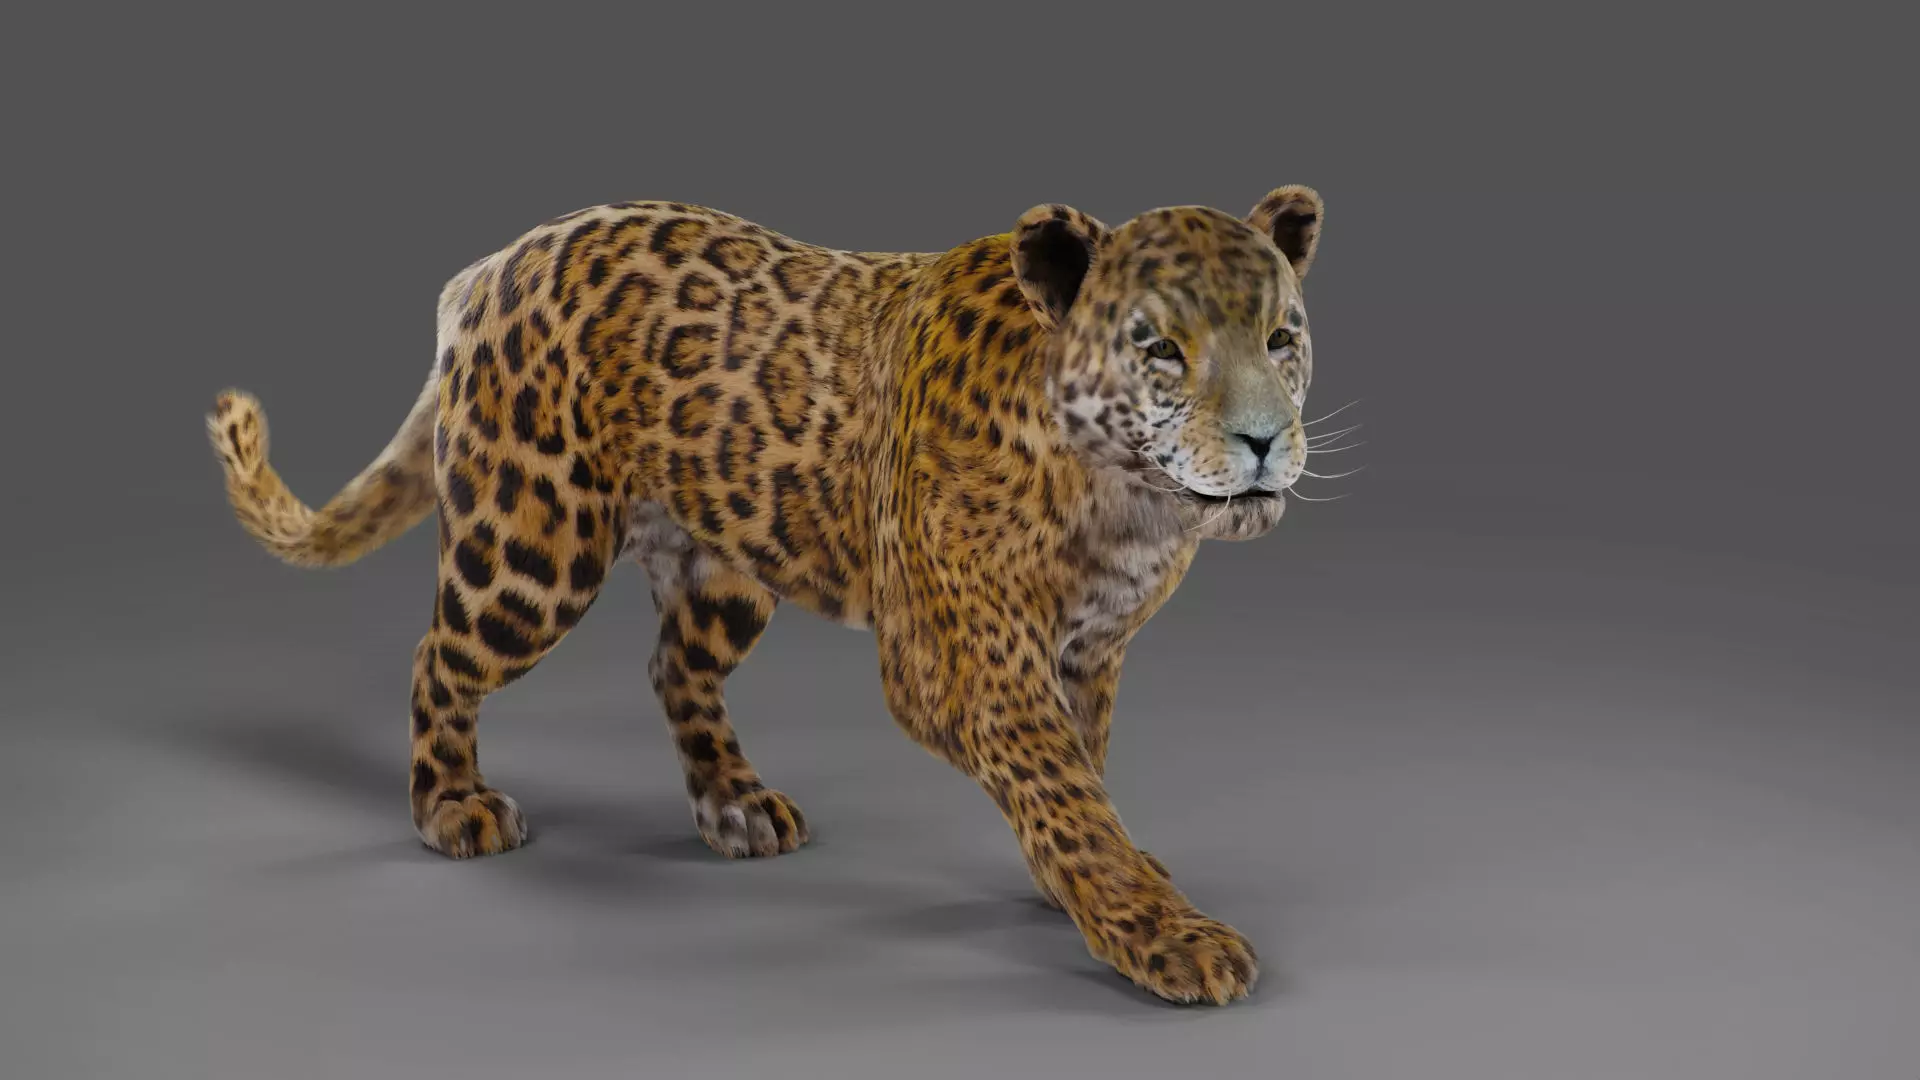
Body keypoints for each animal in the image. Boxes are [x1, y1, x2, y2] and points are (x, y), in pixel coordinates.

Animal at [206, 183, 1328, 1006]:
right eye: (1161, 349)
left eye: (1282, 337)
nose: (1264, 441)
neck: (1124, 503)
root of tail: (494, 263)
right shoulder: (969, 661)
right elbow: (1061, 788)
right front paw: (1166, 935)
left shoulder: (1090, 650)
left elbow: (1081, 772)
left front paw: (1088, 889)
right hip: (530, 551)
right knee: (439, 656)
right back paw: (451, 806)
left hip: (728, 568)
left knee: (672, 666)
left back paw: (737, 805)